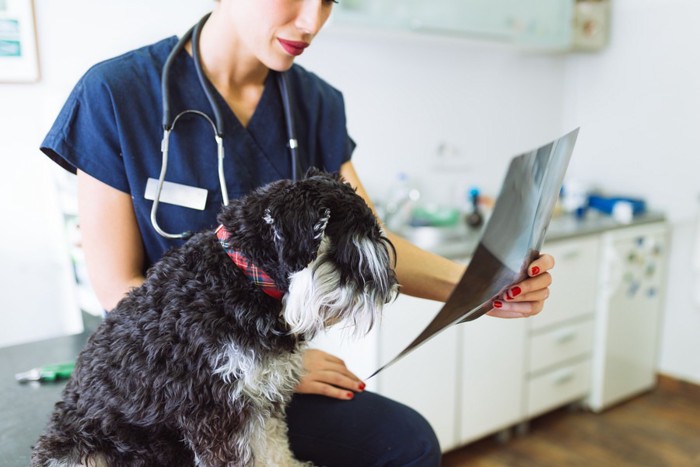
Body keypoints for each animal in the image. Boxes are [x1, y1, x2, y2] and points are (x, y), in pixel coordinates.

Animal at [31, 172, 400, 467]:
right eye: (350, 251)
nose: (392, 292)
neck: (241, 276)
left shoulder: (260, 396)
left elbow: (273, 446)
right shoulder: (214, 410)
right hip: (82, 451)